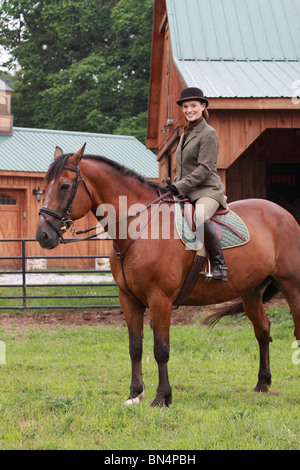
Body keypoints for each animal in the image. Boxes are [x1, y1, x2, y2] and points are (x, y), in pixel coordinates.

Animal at [36, 145, 300, 406]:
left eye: (64, 186)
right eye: (43, 188)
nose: (42, 235)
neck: (140, 227)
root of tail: (284, 213)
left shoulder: (159, 299)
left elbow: (161, 349)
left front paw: (162, 396)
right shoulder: (128, 299)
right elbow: (135, 347)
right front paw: (134, 394)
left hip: (291, 286)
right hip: (251, 291)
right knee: (262, 331)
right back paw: (262, 384)